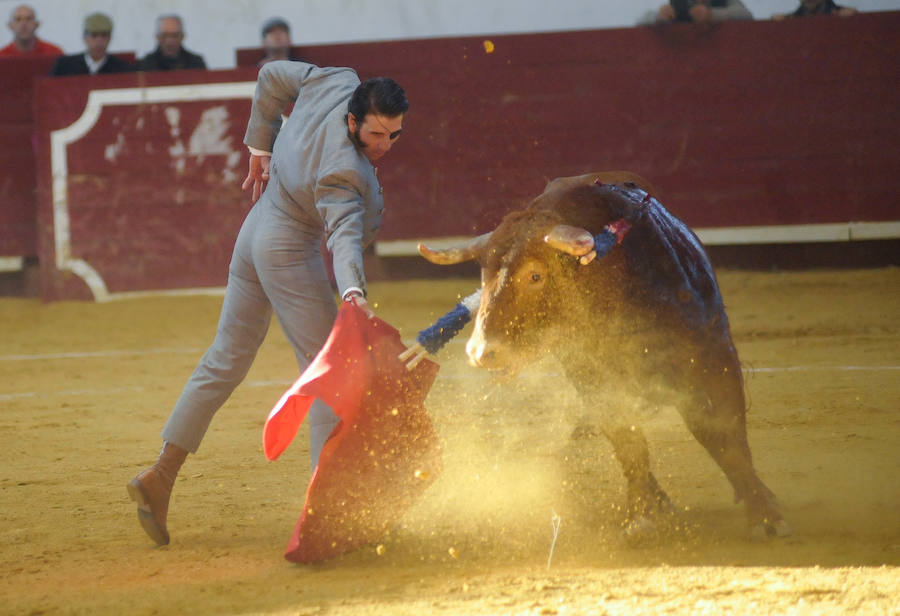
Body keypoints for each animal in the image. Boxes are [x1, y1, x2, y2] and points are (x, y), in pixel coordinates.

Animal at [420, 172, 788, 540]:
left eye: (535, 275)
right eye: (483, 274)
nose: (482, 352)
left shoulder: (713, 356)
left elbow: (723, 435)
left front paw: (764, 512)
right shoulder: (596, 380)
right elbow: (628, 441)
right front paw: (641, 515)